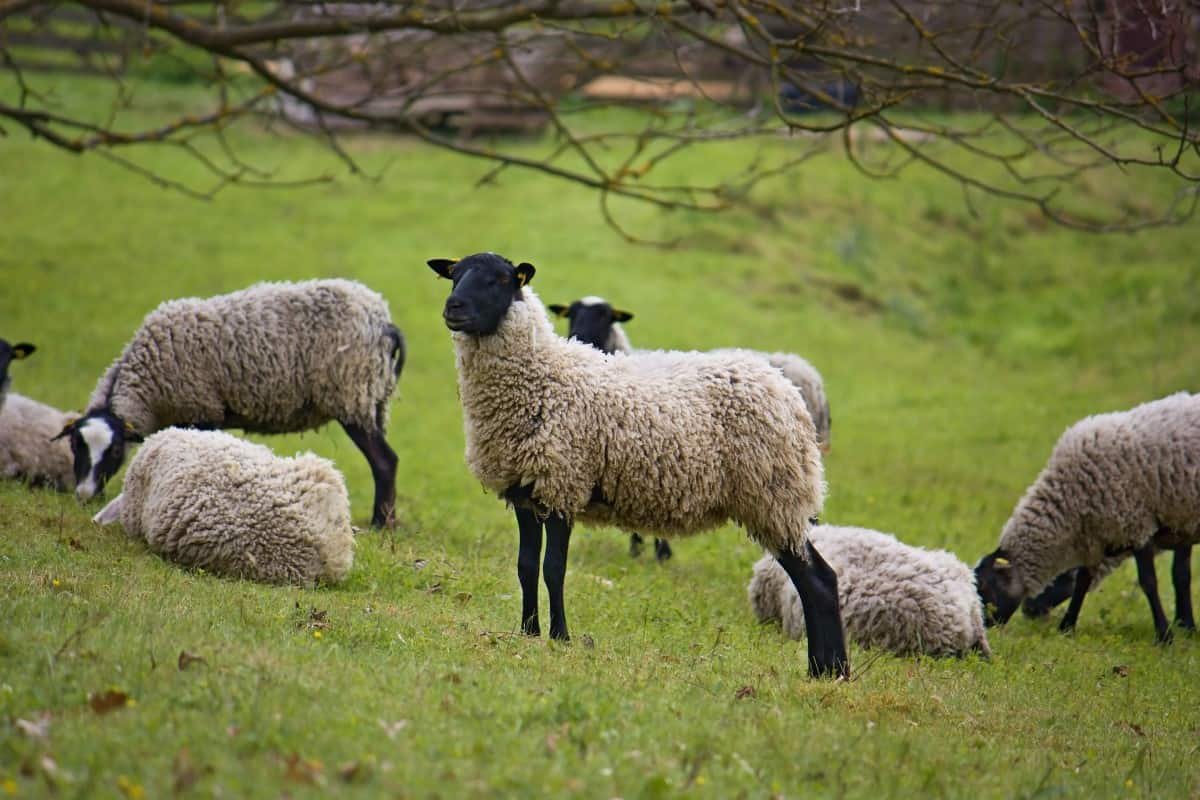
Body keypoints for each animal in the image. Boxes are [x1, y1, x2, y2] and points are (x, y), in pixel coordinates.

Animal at [53, 279, 406, 527]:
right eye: (74, 446)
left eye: (114, 451)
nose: (83, 496)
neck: (147, 384)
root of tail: (381, 319)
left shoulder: (202, 409)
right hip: (374, 399)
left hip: (351, 393)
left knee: (385, 461)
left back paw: (381, 524)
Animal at [547, 295, 831, 562]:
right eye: (571, 314)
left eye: (606, 317)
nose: (578, 336)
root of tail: (811, 381)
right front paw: (645, 549)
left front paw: (657, 552)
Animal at [975, 391, 1200, 643]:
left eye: (984, 587)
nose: (1030, 611)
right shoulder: (1097, 533)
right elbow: (1084, 580)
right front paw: (1067, 627)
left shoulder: (1138, 523)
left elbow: (1151, 581)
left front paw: (1166, 634)